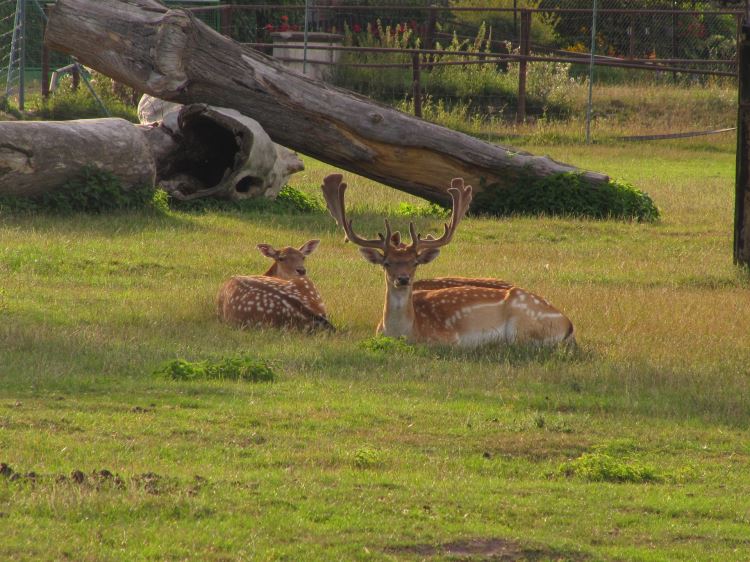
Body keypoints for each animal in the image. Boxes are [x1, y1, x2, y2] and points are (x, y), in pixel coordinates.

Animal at [322, 173, 576, 346]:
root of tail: (568, 324)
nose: (402, 279)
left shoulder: (449, 340)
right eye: (387, 263)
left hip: (523, 325)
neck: (406, 333)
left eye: (415, 263)